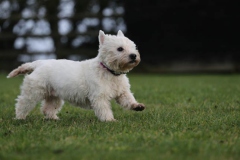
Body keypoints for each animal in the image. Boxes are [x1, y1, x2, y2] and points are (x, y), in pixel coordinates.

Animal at [7, 30, 145, 121]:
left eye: (133, 47)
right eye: (120, 49)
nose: (134, 56)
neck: (110, 72)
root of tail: (39, 63)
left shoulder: (122, 93)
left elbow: (129, 100)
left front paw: (137, 106)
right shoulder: (99, 97)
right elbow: (104, 109)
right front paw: (110, 120)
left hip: (54, 95)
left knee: (47, 108)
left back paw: (54, 119)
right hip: (33, 92)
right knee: (23, 103)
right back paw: (20, 118)